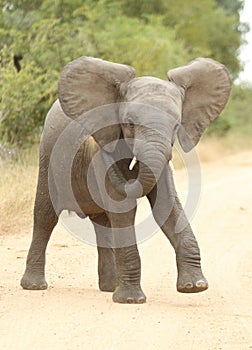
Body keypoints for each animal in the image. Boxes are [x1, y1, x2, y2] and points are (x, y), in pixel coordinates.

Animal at [20, 56, 231, 302]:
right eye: (129, 124)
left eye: (176, 126)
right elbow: (123, 208)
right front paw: (131, 300)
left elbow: (166, 206)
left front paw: (195, 287)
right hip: (48, 155)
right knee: (45, 215)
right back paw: (34, 286)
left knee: (102, 224)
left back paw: (109, 287)